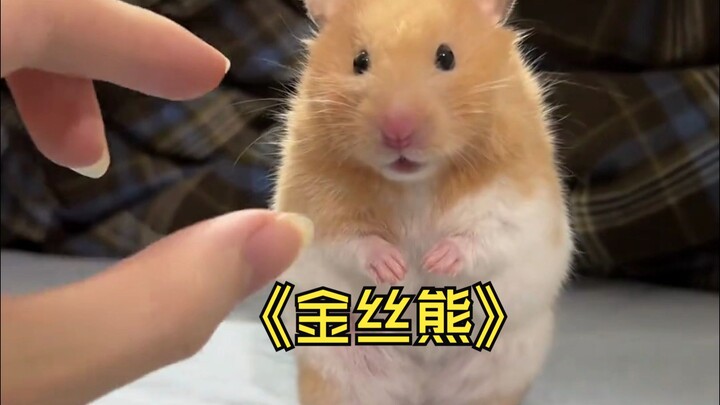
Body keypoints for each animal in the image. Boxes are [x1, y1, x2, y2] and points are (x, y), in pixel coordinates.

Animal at [271, 0, 574, 404]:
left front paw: (434, 260)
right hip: (343, 375)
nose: (398, 131)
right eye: (359, 61)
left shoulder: (519, 201)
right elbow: (350, 238)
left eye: (446, 57)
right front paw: (395, 268)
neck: (415, 182)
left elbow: (486, 233)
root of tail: (422, 387)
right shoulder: (317, 203)